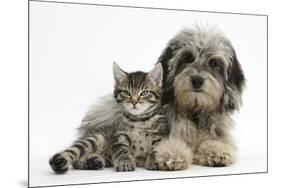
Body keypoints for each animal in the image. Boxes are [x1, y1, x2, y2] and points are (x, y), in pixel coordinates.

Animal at [145, 26, 244, 170]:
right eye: (188, 57)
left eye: (213, 62)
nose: (197, 80)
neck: (195, 112)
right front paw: (173, 152)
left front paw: (216, 150)